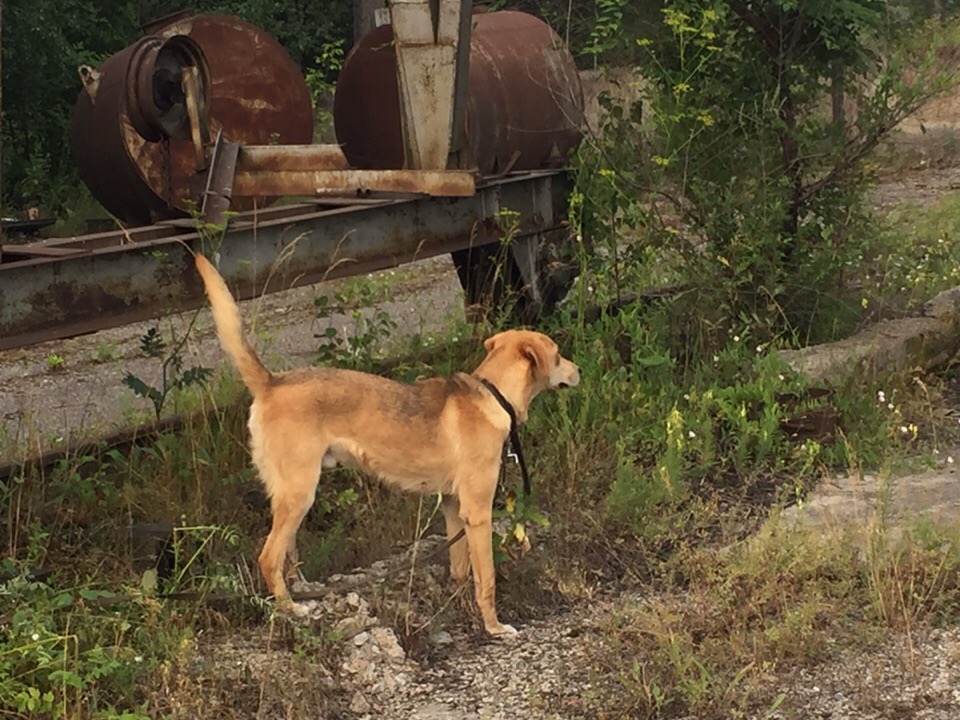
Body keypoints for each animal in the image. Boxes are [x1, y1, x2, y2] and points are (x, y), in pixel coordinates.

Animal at [194, 254, 579, 635]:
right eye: (558, 354)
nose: (576, 371)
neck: (493, 395)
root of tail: (271, 383)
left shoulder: (453, 506)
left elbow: (460, 569)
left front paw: (459, 607)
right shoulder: (478, 512)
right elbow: (487, 579)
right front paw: (494, 626)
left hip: (290, 493)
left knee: (286, 553)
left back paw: (301, 590)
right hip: (300, 492)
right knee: (268, 557)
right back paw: (290, 608)